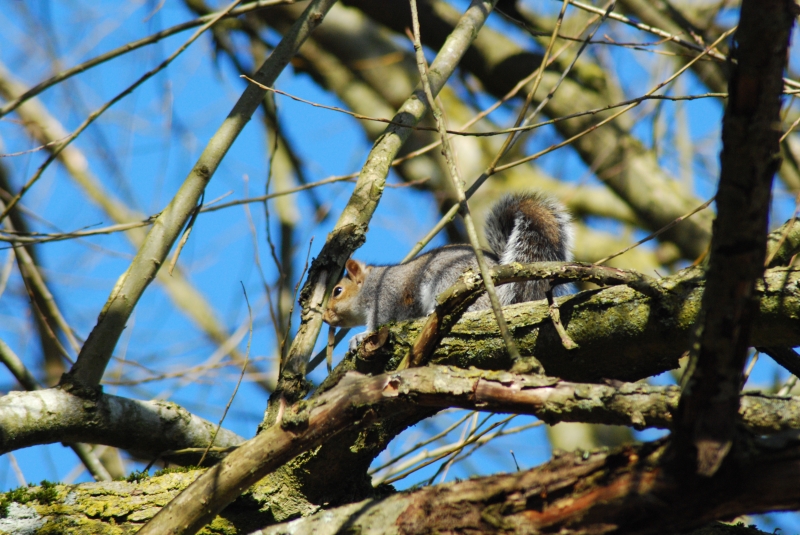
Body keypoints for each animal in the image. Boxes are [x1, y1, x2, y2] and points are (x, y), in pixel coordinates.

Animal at [322, 191, 572, 350]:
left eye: (337, 291)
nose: (324, 317)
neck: (371, 284)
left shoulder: (385, 298)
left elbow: (379, 323)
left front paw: (360, 336)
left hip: (448, 280)